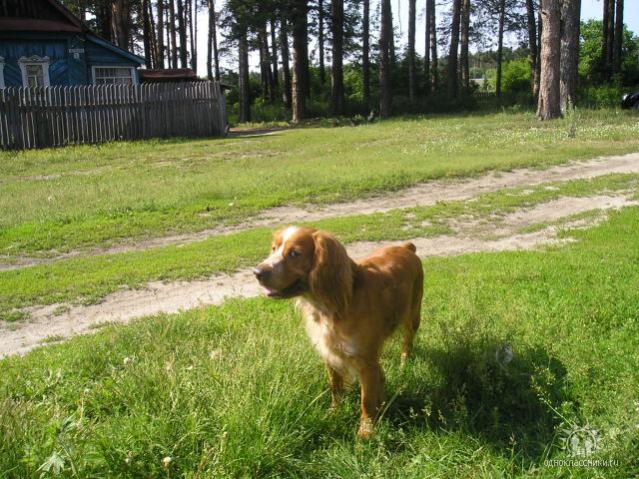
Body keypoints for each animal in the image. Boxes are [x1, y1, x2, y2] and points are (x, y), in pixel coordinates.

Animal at [254, 226, 423, 437]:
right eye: (273, 248)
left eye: (295, 253)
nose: (257, 272)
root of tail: (406, 247)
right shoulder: (329, 353)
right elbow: (335, 387)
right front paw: (334, 413)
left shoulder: (365, 361)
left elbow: (366, 400)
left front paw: (366, 432)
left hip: (412, 315)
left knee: (408, 340)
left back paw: (404, 362)